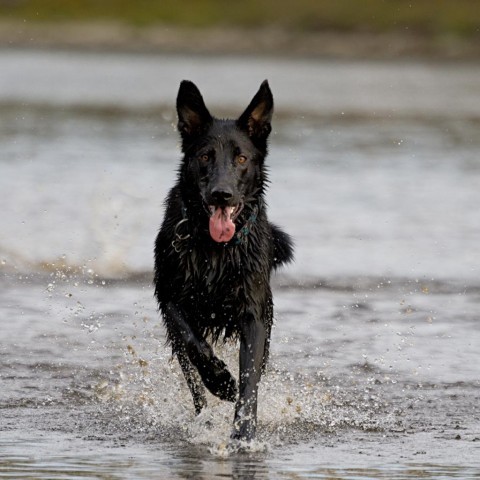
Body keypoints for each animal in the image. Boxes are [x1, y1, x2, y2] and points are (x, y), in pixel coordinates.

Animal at [156, 79, 294, 442]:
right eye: (205, 156)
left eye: (241, 157)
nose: (222, 194)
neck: (215, 249)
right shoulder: (170, 298)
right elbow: (196, 344)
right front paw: (221, 382)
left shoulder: (253, 316)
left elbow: (250, 380)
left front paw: (243, 433)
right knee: (194, 382)